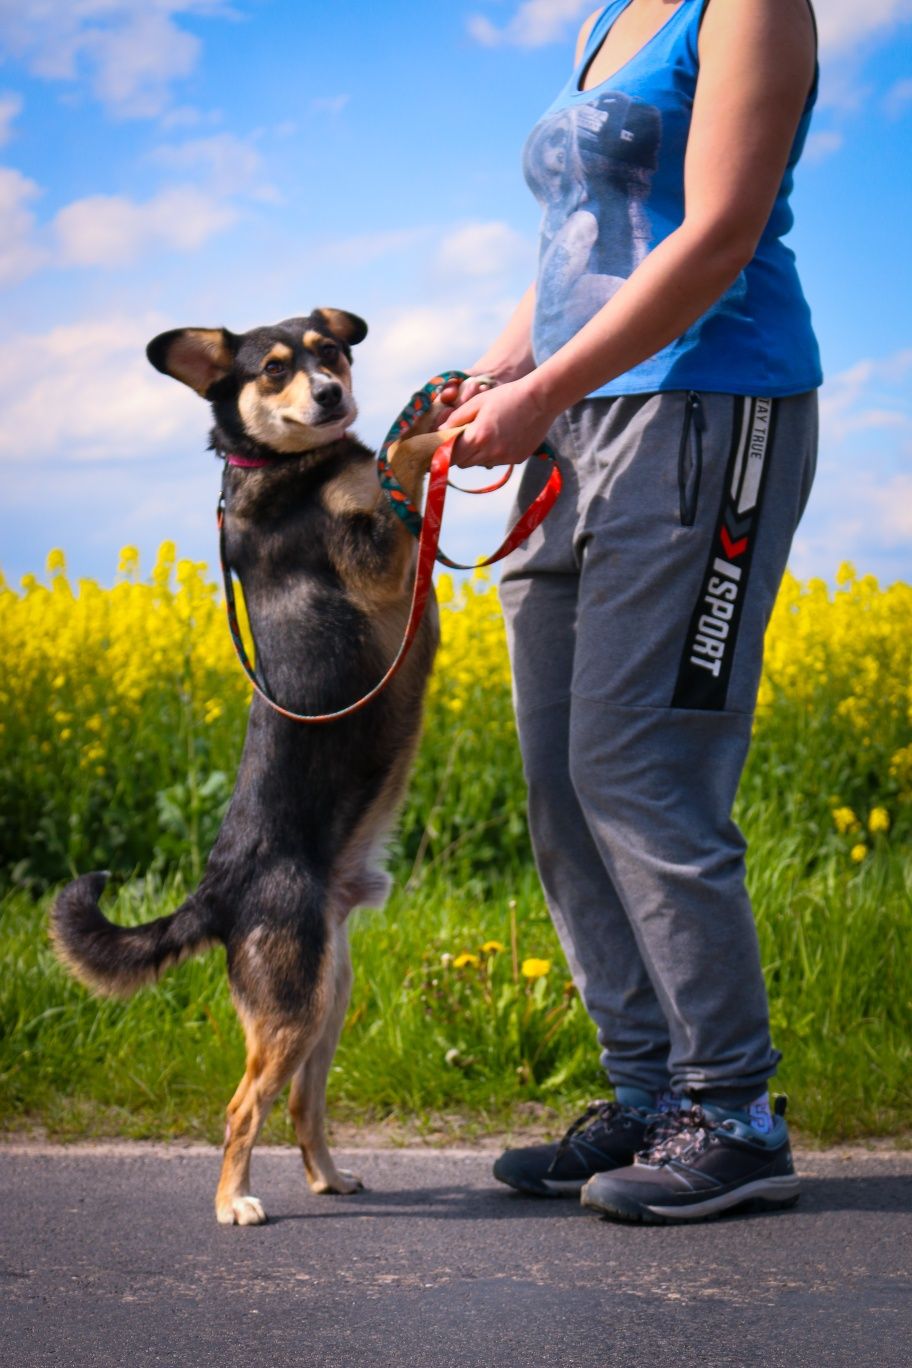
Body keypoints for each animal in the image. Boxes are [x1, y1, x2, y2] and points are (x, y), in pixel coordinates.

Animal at [51, 310, 443, 1231]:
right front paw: (435, 421)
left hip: (326, 997)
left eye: (329, 353)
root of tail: (217, 888)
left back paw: (327, 1179)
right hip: (295, 1006)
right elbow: (400, 459)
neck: (283, 467)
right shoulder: (374, 553)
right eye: (273, 371)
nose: (331, 394)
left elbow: (391, 464)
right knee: (241, 1107)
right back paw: (233, 1201)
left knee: (298, 1103)